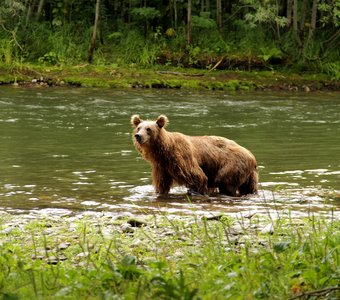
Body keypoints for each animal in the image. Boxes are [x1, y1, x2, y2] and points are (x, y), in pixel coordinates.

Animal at [130, 115, 258, 197]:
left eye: (148, 129)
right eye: (138, 127)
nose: (138, 136)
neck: (163, 151)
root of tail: (252, 156)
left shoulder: (181, 157)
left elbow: (197, 176)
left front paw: (195, 192)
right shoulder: (161, 167)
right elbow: (161, 184)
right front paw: (158, 192)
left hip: (232, 164)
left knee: (225, 182)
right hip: (249, 174)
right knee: (249, 188)